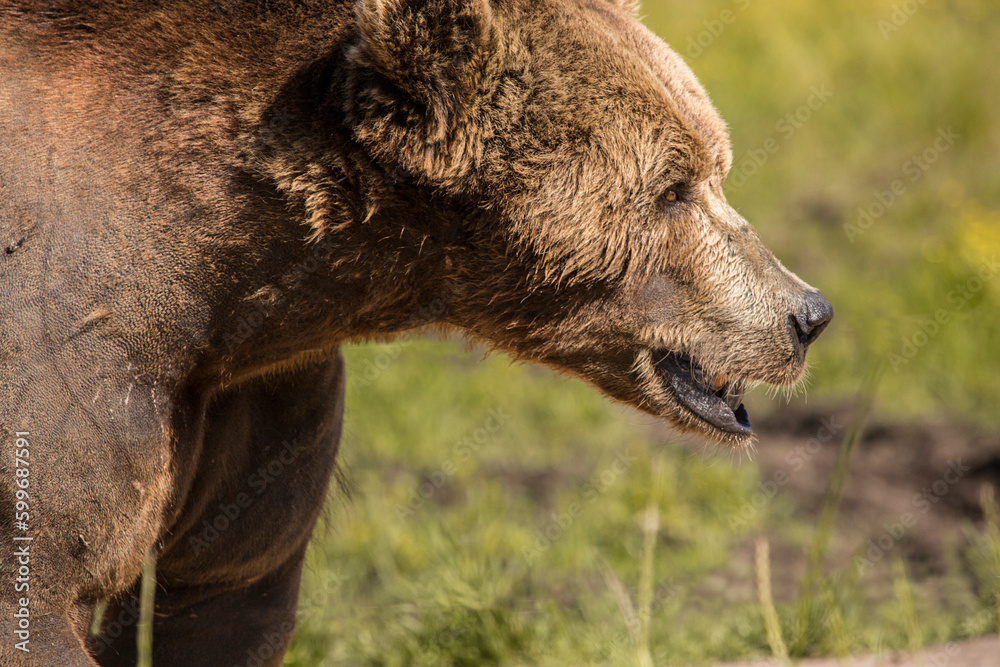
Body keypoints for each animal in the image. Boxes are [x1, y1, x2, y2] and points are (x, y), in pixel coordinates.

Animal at [0, 0, 832, 664]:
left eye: (717, 164)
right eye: (672, 188)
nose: (809, 312)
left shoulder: (262, 400)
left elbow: (222, 597)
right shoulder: (71, 369)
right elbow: (44, 588)